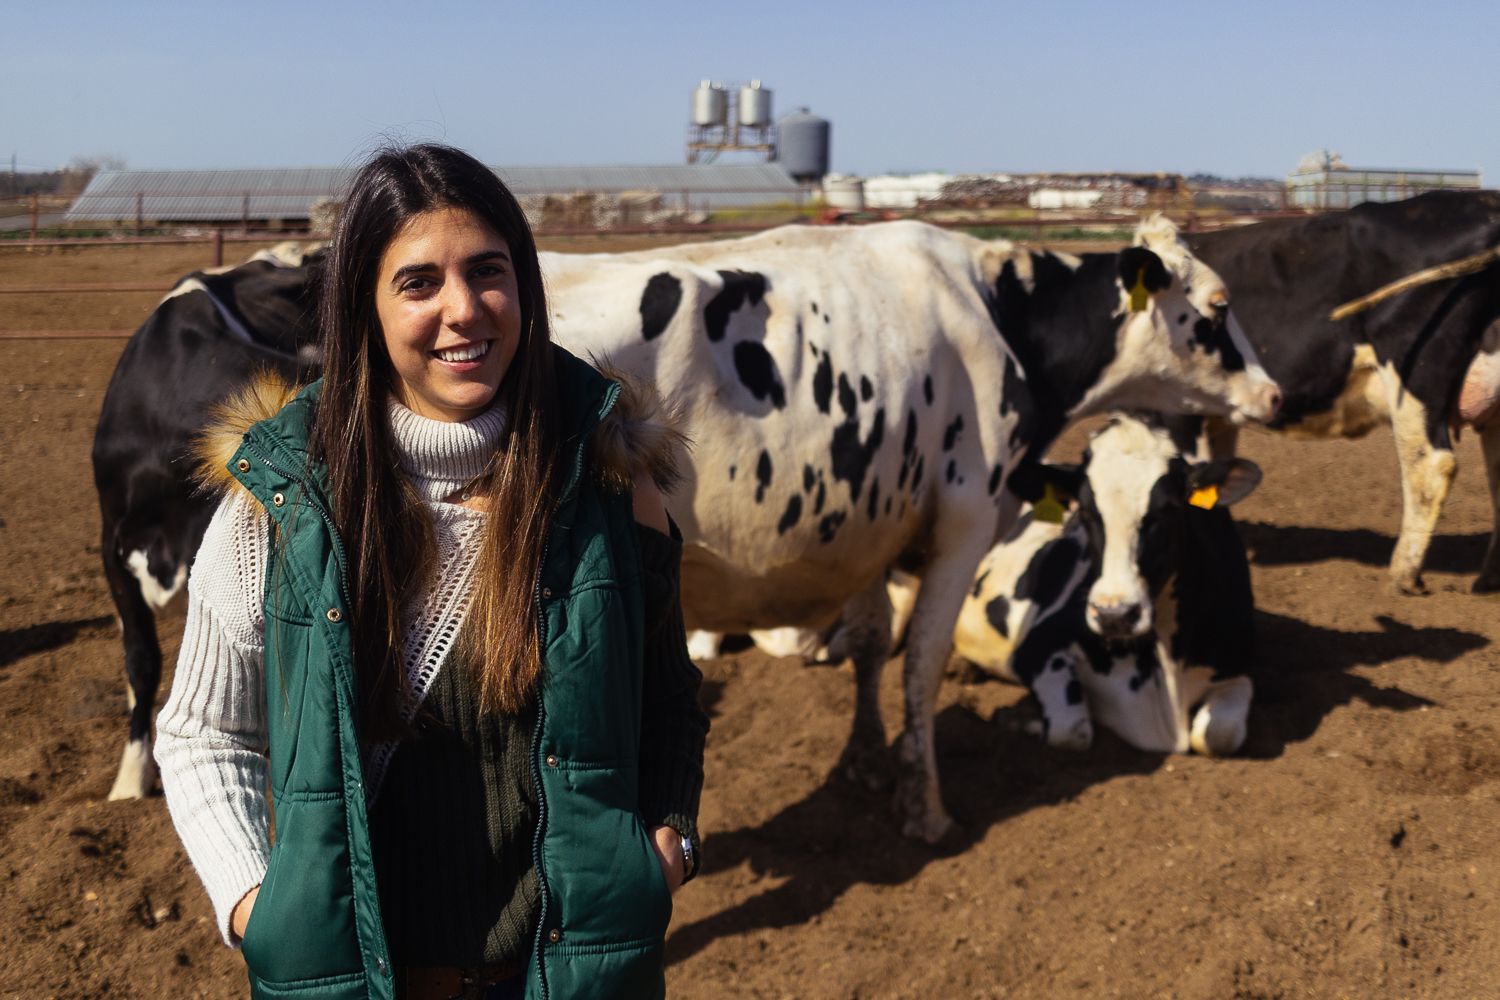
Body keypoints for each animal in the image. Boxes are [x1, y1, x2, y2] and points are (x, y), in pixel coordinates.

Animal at [540, 220, 1278, 845]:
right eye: (1218, 306)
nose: (1274, 393)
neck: (995, 309)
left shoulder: (868, 531)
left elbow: (871, 645)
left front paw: (866, 761)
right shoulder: (967, 518)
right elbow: (922, 664)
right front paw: (925, 809)